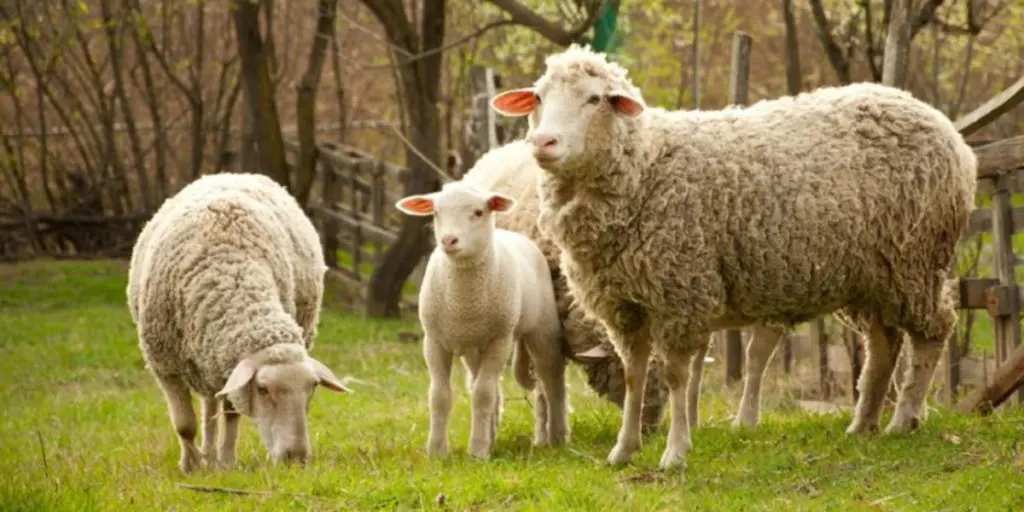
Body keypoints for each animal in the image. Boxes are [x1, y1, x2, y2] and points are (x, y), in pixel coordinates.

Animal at [127, 172, 350, 473]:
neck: (232, 274)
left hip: (213, 357)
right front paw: (191, 465)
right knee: (208, 405)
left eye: (312, 388)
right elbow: (185, 425)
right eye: (263, 389)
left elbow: (231, 415)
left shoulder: (230, 367)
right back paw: (204, 456)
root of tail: (233, 173)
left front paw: (226, 462)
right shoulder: (166, 366)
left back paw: (211, 455)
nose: (295, 459)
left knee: (213, 404)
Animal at [395, 179, 568, 459]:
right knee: (491, 386)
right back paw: (493, 435)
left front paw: (477, 451)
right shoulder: (434, 341)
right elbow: (440, 396)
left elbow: (483, 395)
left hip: (543, 330)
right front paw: (437, 450)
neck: (464, 303)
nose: (448, 240)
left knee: (552, 382)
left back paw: (558, 436)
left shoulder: (500, 340)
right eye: (435, 212)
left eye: (478, 212)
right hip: (474, 349)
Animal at [490, 44, 977, 473]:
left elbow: (676, 377)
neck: (646, 167)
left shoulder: (680, 294)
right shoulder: (624, 306)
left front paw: (675, 454)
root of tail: (944, 126)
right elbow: (634, 376)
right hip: (872, 276)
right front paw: (623, 451)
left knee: (933, 331)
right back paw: (863, 424)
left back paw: (904, 419)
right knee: (883, 344)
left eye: (594, 99)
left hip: (916, 261)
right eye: (538, 97)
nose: (544, 142)